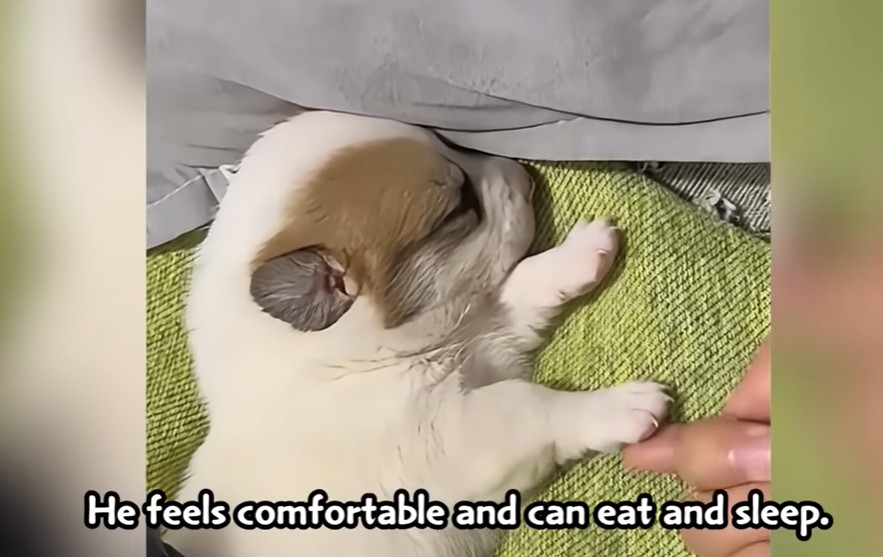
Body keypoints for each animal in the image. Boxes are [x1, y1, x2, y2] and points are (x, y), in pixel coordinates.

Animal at [166, 111, 670, 557]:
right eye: (461, 205)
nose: (523, 172)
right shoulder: (458, 436)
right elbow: (532, 405)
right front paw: (624, 406)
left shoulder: (484, 334)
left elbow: (518, 287)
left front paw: (581, 252)